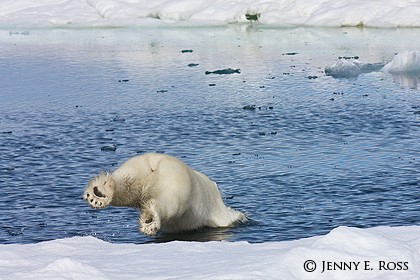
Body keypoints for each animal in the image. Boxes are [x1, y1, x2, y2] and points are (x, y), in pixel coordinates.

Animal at [83, 153, 246, 236]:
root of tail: (156, 164)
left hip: (137, 167)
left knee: (126, 184)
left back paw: (97, 194)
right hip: (176, 186)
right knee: (167, 205)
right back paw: (150, 222)